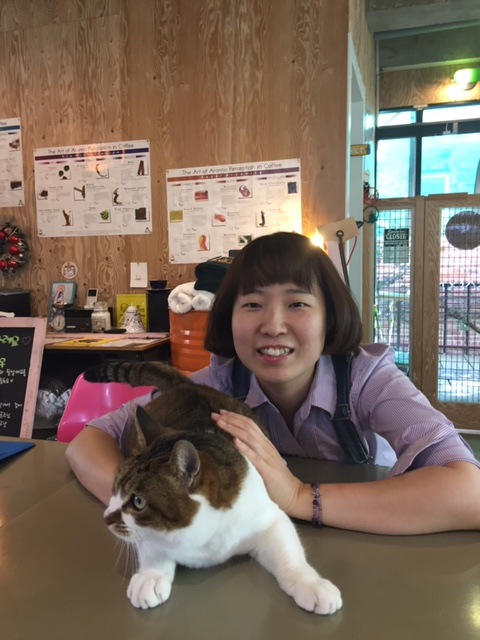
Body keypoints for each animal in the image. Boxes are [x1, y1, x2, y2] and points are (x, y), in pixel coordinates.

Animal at [83, 361, 342, 615]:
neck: (198, 534)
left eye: (138, 502)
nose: (105, 517)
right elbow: (149, 542)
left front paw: (311, 584)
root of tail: (187, 385)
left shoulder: (269, 518)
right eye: (114, 488)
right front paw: (150, 576)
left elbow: (290, 556)